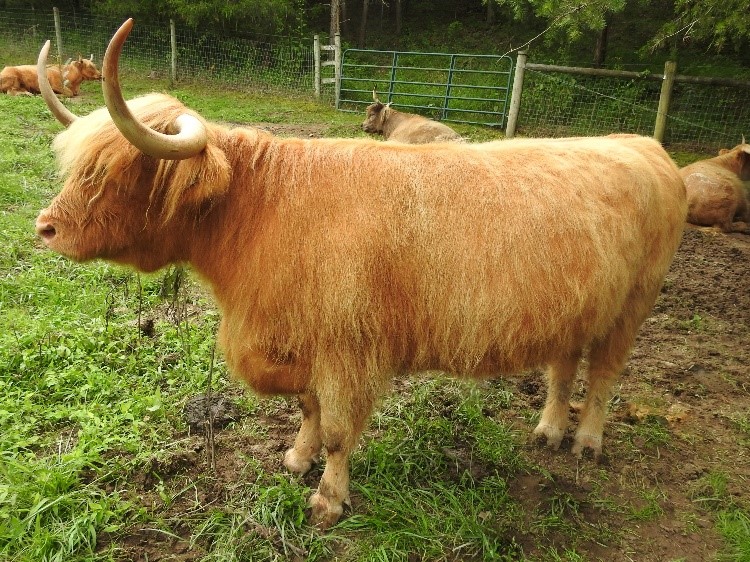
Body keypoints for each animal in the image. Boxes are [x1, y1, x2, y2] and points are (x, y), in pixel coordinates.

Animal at [38, 21, 692, 528]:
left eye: (119, 171)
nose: (46, 228)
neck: (259, 213)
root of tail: (644, 145)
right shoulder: (304, 340)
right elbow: (307, 408)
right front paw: (296, 460)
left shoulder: (348, 347)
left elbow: (336, 428)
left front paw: (328, 499)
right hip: (577, 303)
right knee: (564, 365)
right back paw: (548, 430)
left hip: (635, 304)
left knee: (603, 375)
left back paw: (586, 442)